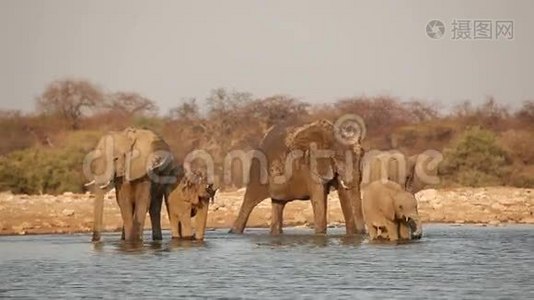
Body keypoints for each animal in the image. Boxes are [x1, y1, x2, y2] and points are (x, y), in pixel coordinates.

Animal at [228, 118, 366, 236]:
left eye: (362, 156)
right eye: (340, 157)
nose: (362, 233)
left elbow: (343, 195)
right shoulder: (310, 165)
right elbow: (319, 199)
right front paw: (320, 235)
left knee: (278, 204)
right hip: (258, 169)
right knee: (249, 202)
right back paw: (234, 232)